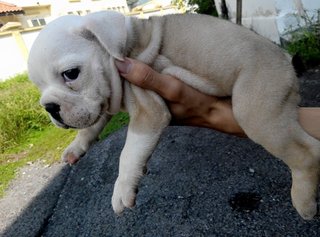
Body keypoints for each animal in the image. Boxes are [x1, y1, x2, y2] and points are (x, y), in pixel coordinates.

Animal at [28, 10, 320, 218]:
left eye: (71, 74)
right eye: (39, 87)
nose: (49, 106)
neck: (121, 50)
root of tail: (285, 59)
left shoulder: (148, 109)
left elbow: (128, 152)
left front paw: (122, 188)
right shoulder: (101, 102)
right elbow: (93, 124)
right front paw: (76, 147)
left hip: (255, 108)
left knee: (306, 153)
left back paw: (304, 202)